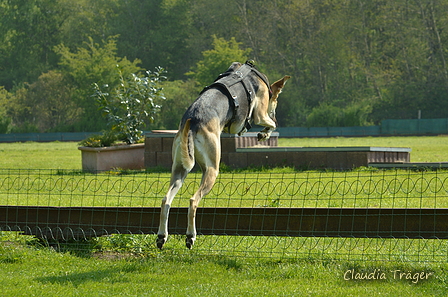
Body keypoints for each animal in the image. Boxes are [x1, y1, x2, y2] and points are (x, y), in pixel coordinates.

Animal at [158, 61, 290, 249]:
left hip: (179, 170)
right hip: (212, 169)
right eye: (276, 102)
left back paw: (162, 236)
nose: (276, 115)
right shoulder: (260, 114)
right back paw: (190, 236)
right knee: (193, 201)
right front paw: (264, 134)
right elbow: (270, 124)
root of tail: (194, 120)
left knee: (166, 201)